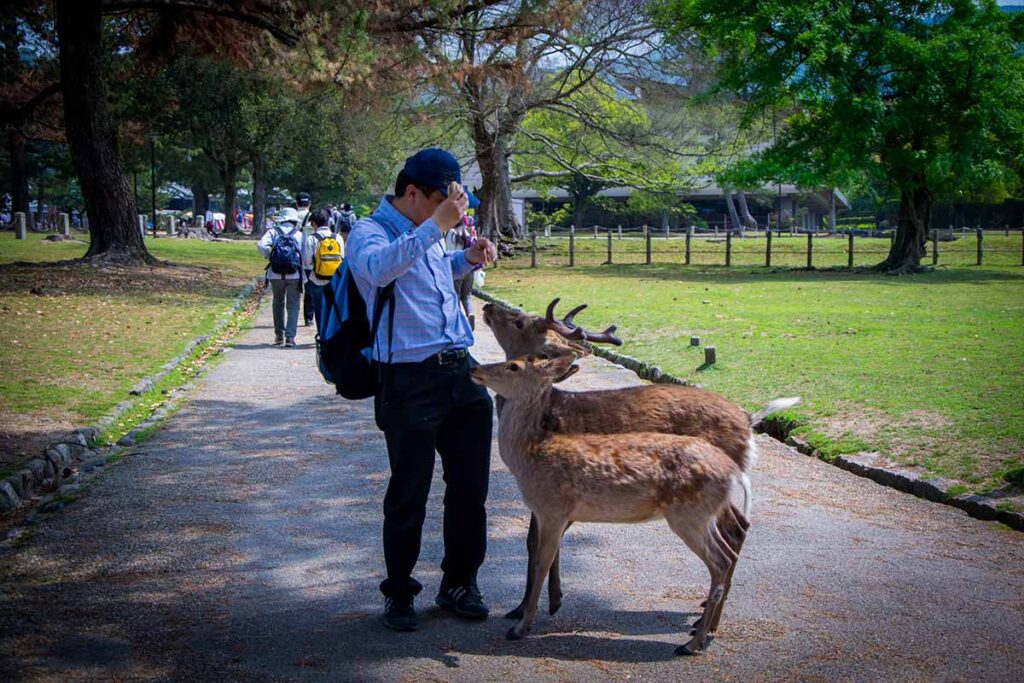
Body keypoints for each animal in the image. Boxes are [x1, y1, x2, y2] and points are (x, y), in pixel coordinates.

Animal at [468, 356, 745, 655]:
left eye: (514, 366)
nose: (475, 368)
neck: (529, 459)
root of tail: (732, 470)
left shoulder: (553, 507)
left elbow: (542, 561)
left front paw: (520, 628)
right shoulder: (547, 513)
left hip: (688, 514)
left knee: (720, 560)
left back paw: (692, 643)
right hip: (703, 515)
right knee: (729, 552)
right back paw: (704, 633)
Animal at [481, 299, 798, 618]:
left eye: (520, 321)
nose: (488, 307)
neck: (546, 413)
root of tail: (748, 420)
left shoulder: (554, 490)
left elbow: (535, 543)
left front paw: (528, 606)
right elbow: (540, 543)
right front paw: (550, 600)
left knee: (733, 530)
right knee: (738, 527)